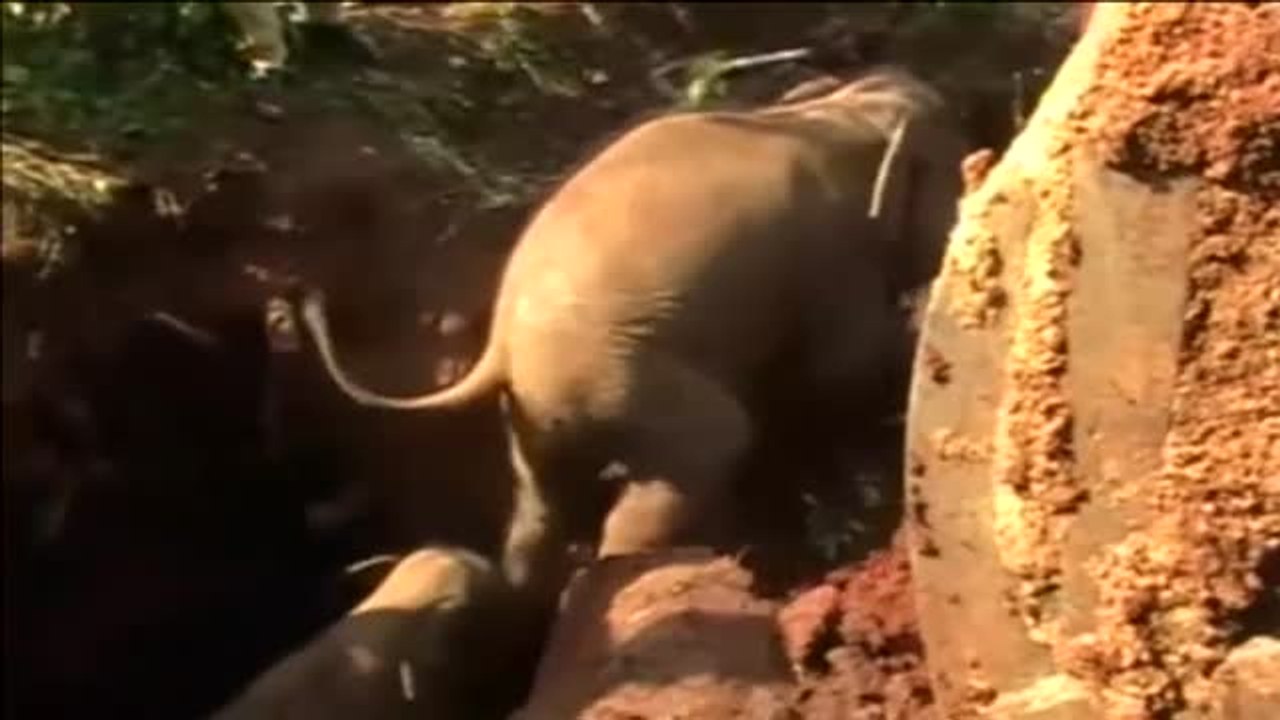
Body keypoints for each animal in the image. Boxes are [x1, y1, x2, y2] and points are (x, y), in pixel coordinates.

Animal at [295, 66, 968, 613]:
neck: (840, 114)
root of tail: (500, 346)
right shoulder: (833, 257)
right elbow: (843, 367)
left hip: (538, 413)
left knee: (541, 505)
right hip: (619, 375)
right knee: (712, 444)